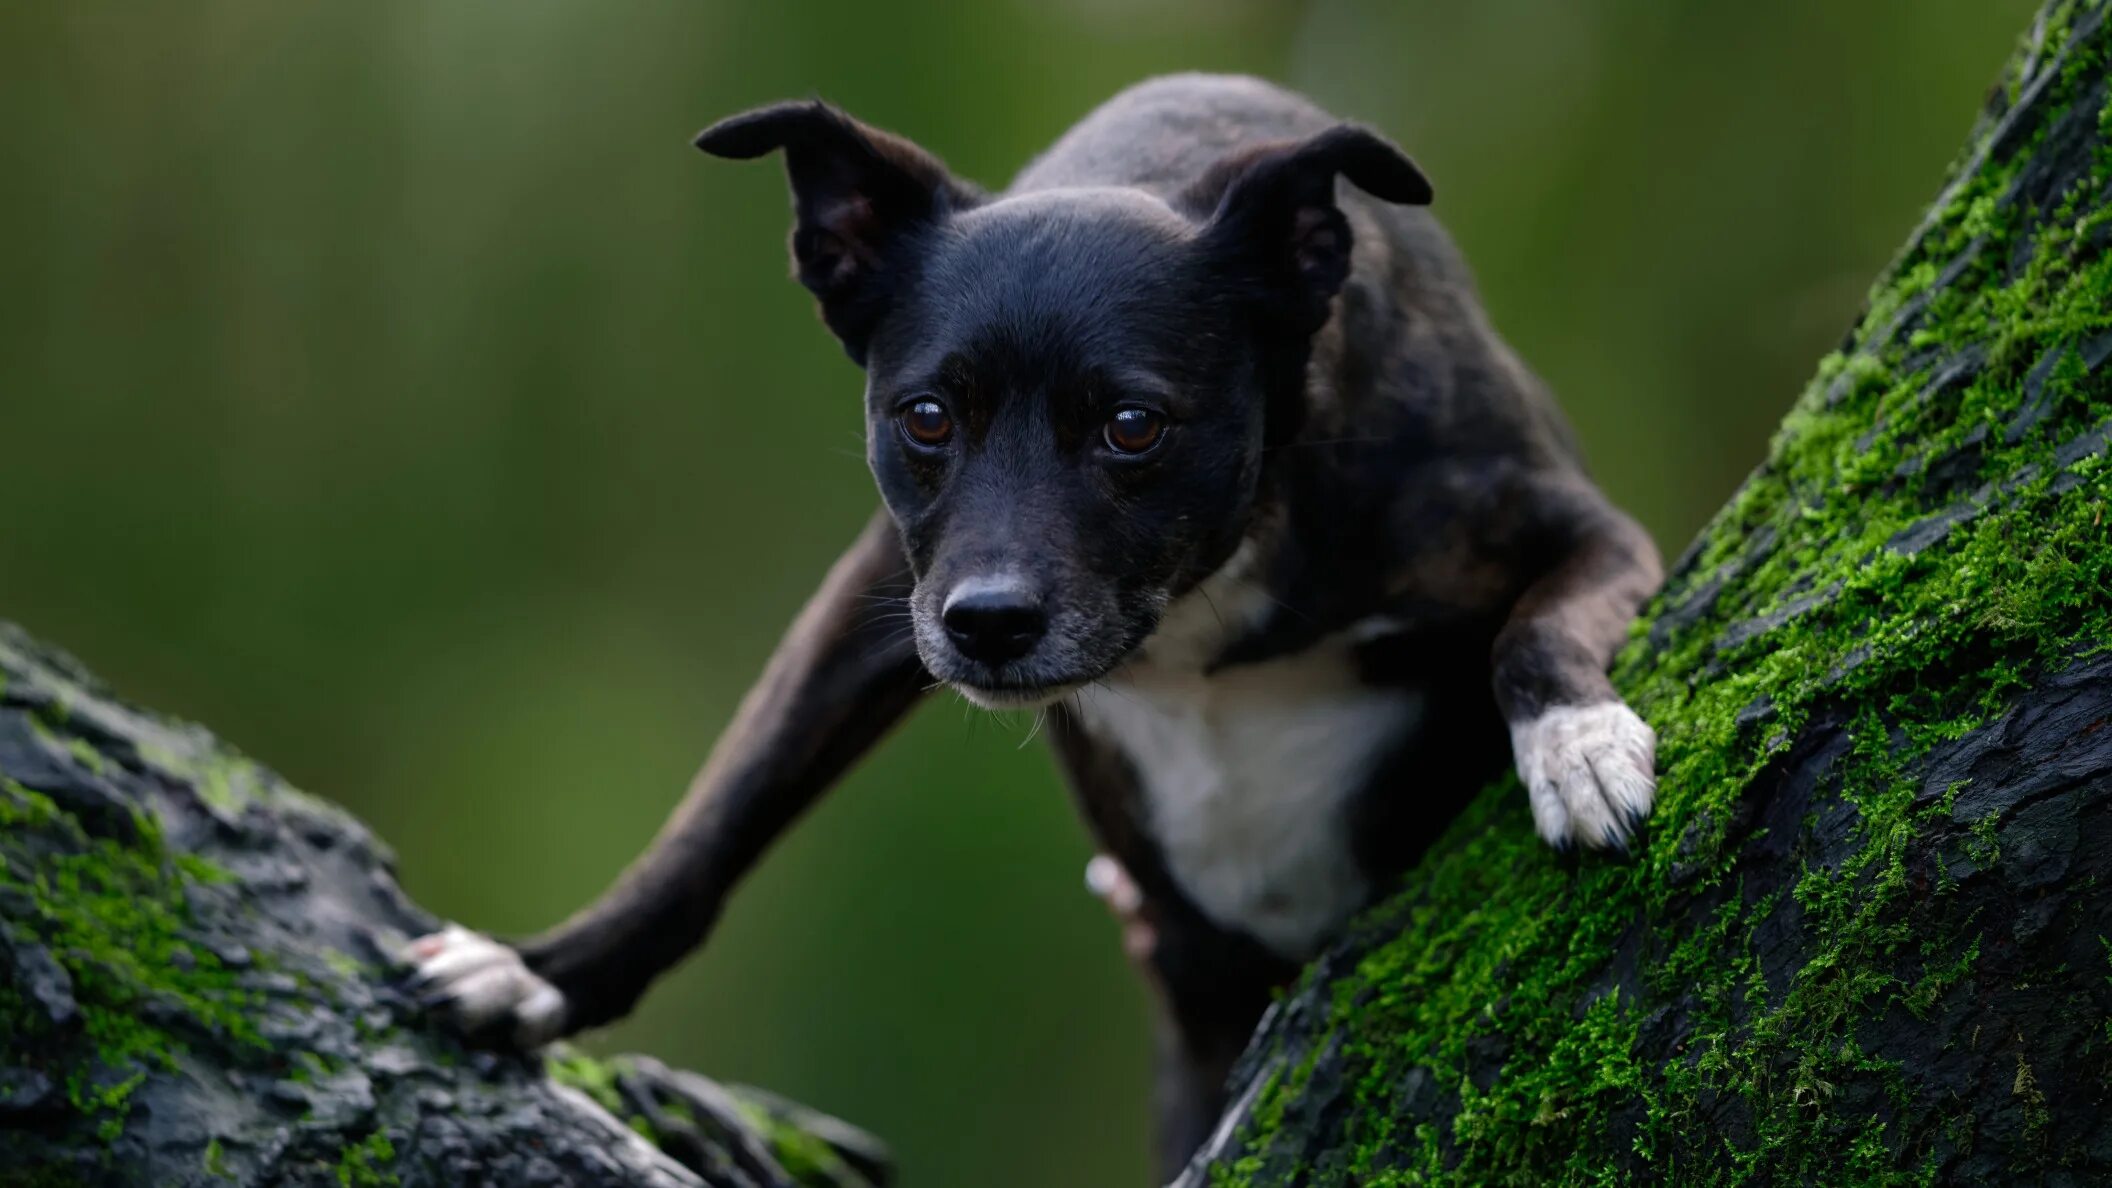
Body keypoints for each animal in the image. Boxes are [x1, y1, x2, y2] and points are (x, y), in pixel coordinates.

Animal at [407, 73, 1664, 1175]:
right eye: (925, 415)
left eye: (1132, 425)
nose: (990, 624)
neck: (1203, 590)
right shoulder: (881, 600)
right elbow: (724, 811)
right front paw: (542, 972)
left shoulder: (1581, 527)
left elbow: (1530, 633)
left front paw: (1577, 749)